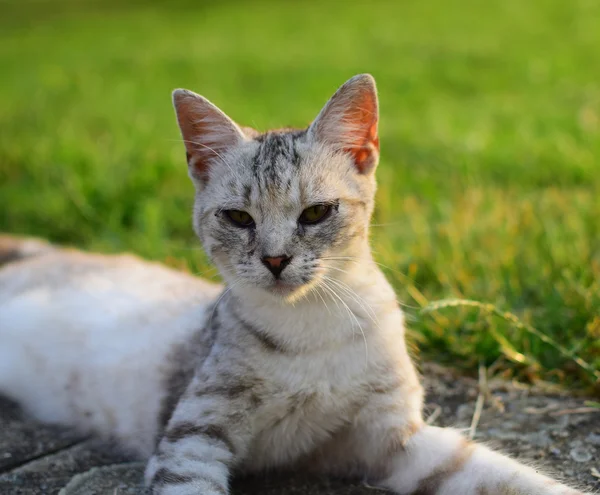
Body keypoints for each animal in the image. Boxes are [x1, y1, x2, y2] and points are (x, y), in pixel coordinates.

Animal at [0, 74, 584, 495]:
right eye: (237, 218)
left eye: (316, 213)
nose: (276, 259)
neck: (311, 329)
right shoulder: (193, 437)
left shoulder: (394, 439)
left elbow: (507, 478)